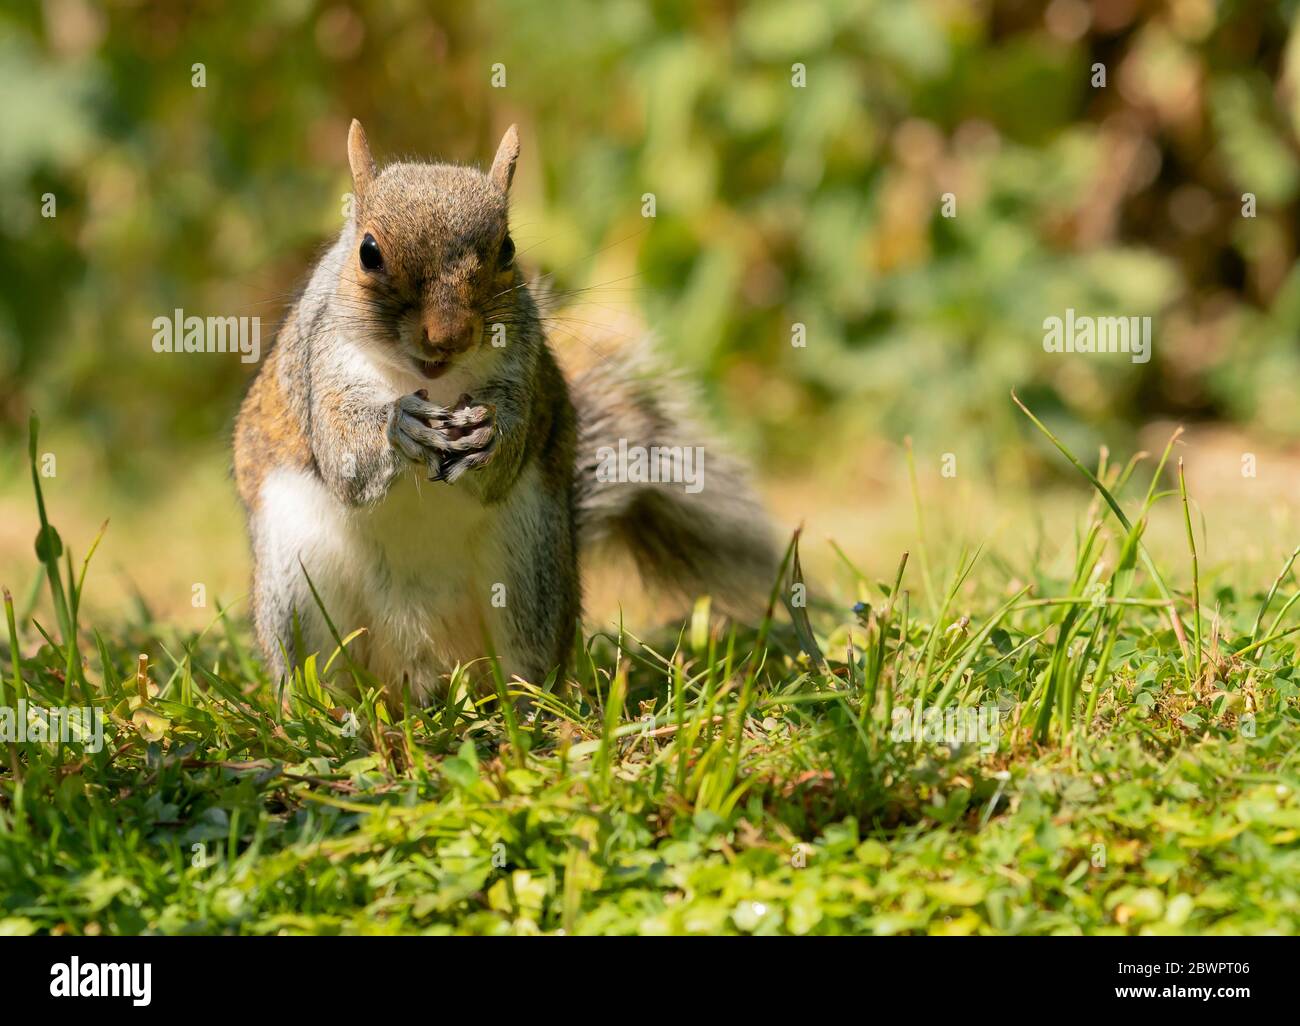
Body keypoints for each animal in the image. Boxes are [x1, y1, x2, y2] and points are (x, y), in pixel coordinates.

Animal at [233, 120, 777, 702]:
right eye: (369, 252)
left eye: (507, 249)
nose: (448, 336)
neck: (435, 384)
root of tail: (420, 675)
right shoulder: (323, 367)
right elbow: (344, 459)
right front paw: (399, 425)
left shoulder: (523, 374)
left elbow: (503, 460)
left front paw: (489, 435)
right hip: (296, 586)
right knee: (318, 676)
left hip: (529, 573)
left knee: (526, 663)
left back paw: (533, 707)